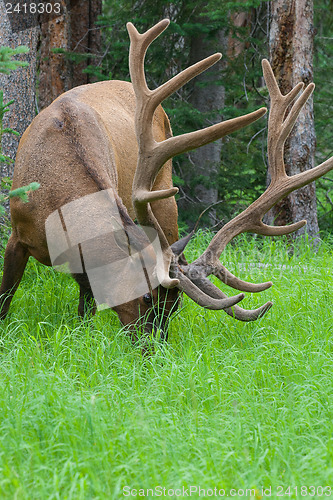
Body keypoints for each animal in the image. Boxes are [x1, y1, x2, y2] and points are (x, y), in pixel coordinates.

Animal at [0, 19, 332, 340]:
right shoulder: (17, 234)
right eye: (146, 297)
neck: (56, 210)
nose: (154, 351)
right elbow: (7, 297)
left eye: (175, 306)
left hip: (165, 197)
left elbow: (85, 305)